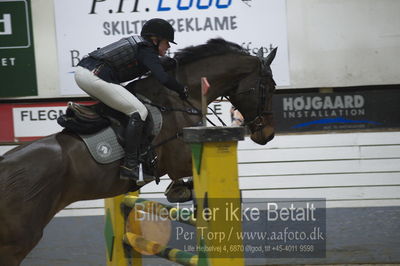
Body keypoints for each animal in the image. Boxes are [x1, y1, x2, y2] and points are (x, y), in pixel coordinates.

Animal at [0, 38, 276, 264]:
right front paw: (188, 191)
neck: (180, 100)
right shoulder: (179, 158)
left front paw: (178, 189)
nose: (268, 134)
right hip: (17, 241)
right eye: (269, 87)